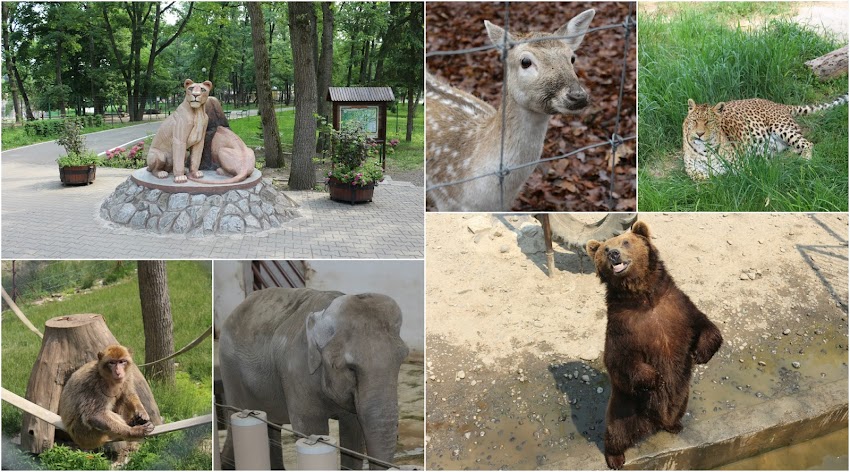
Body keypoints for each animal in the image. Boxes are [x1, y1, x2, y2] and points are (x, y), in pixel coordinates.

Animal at [217, 288, 406, 468]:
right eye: (350, 368)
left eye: (401, 361)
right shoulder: (295, 371)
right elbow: (312, 429)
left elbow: (353, 433)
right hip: (230, 370)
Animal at [588, 220, 720, 468]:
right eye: (605, 248)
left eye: (625, 241)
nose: (613, 253)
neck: (644, 297)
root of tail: (652, 423)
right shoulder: (623, 327)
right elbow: (619, 360)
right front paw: (655, 378)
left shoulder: (678, 308)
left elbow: (705, 324)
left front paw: (701, 353)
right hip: (625, 407)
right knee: (616, 432)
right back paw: (615, 457)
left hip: (682, 395)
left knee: (677, 409)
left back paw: (675, 425)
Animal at [680, 95, 844, 180]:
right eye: (694, 121)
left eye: (709, 122)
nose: (699, 134)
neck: (705, 149)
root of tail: (777, 103)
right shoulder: (691, 170)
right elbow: (703, 176)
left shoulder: (740, 164)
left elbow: (738, 174)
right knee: (793, 148)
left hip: (781, 127)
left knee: (808, 143)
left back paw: (804, 161)